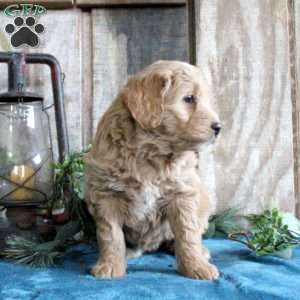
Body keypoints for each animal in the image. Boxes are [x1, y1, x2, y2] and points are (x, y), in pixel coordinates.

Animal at [84, 59, 220, 280]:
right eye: (189, 98)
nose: (218, 127)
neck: (151, 153)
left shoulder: (182, 193)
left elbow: (188, 233)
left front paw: (196, 267)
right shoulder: (106, 194)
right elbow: (110, 235)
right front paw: (110, 266)